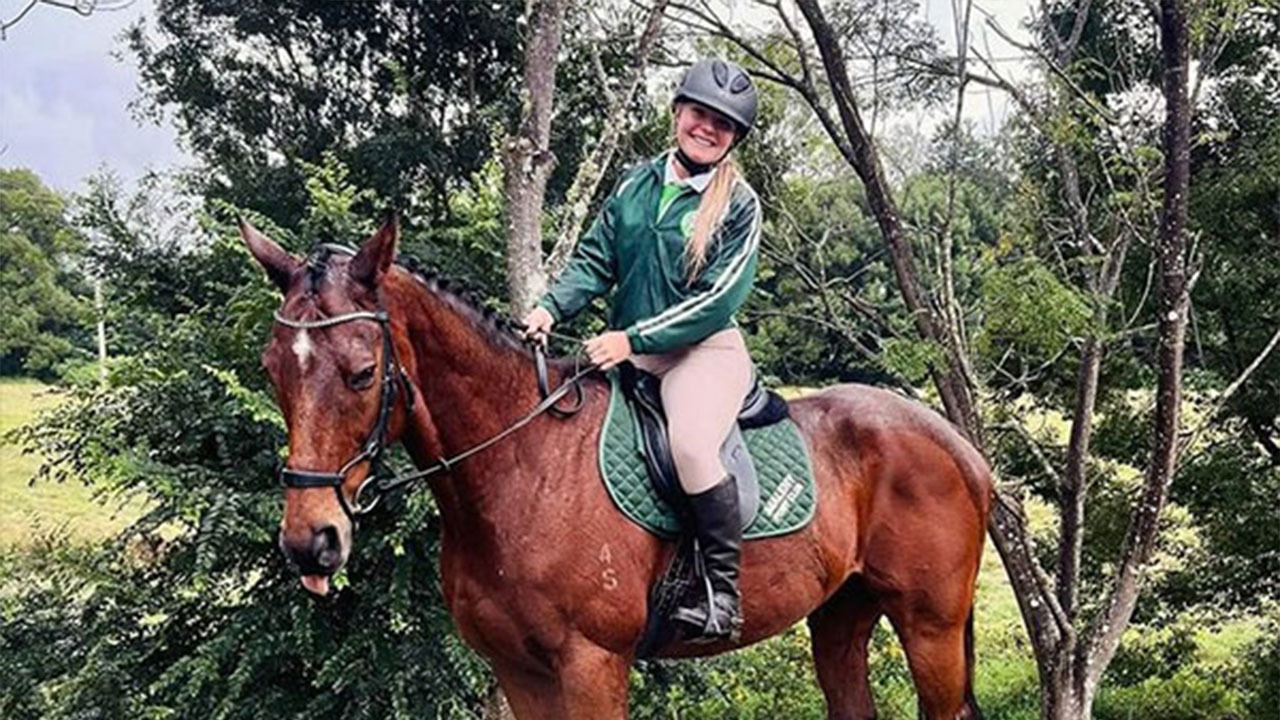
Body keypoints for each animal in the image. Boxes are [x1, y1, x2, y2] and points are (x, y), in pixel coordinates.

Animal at [244, 217, 992, 720]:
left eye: (362, 373)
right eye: (273, 369)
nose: (309, 542)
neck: (522, 469)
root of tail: (957, 445)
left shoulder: (591, 663)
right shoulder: (519, 671)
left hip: (930, 628)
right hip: (841, 616)